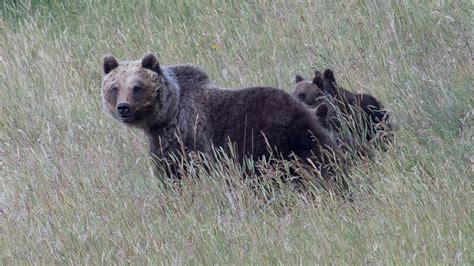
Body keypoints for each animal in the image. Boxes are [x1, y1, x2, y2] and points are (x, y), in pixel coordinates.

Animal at [101, 54, 344, 183]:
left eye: (137, 87)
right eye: (115, 87)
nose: (123, 108)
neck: (168, 113)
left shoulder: (184, 135)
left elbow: (177, 170)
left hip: (262, 138)